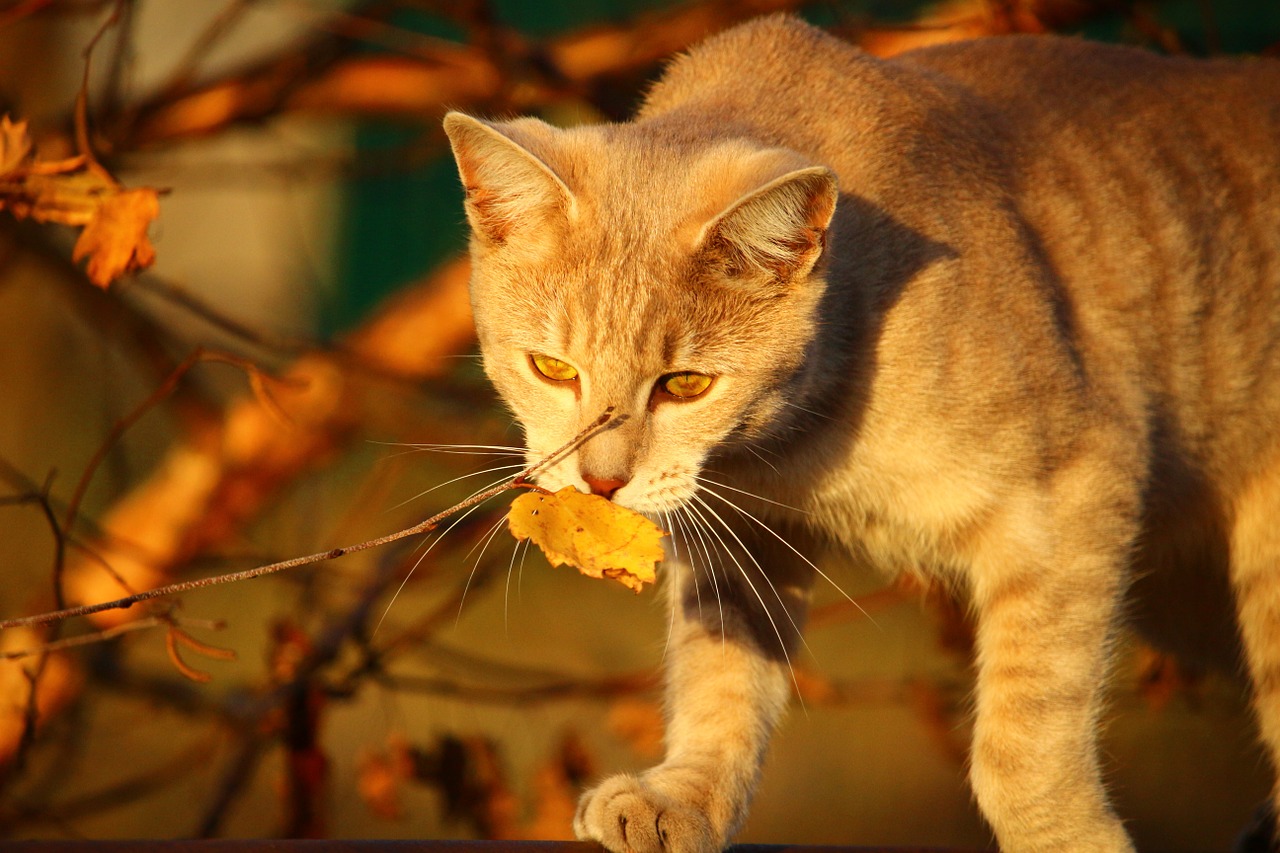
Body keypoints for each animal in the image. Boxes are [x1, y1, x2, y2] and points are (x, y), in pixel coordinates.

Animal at [442, 16, 1280, 850]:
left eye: (685, 384)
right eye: (553, 367)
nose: (601, 480)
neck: (790, 445)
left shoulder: (1074, 492)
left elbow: (1024, 741)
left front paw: (1065, 836)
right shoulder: (742, 533)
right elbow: (718, 678)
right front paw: (682, 796)